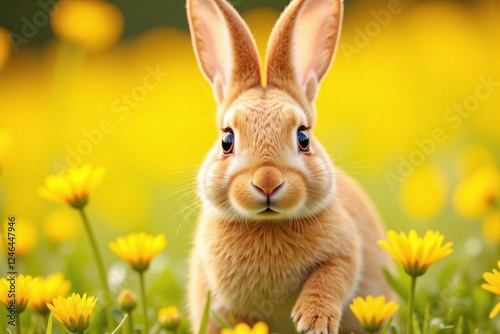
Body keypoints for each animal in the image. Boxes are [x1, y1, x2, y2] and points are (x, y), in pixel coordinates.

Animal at [187, 0, 394, 332]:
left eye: (303, 137)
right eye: (227, 141)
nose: (268, 182)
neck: (268, 225)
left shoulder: (344, 254)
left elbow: (330, 278)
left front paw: (314, 320)